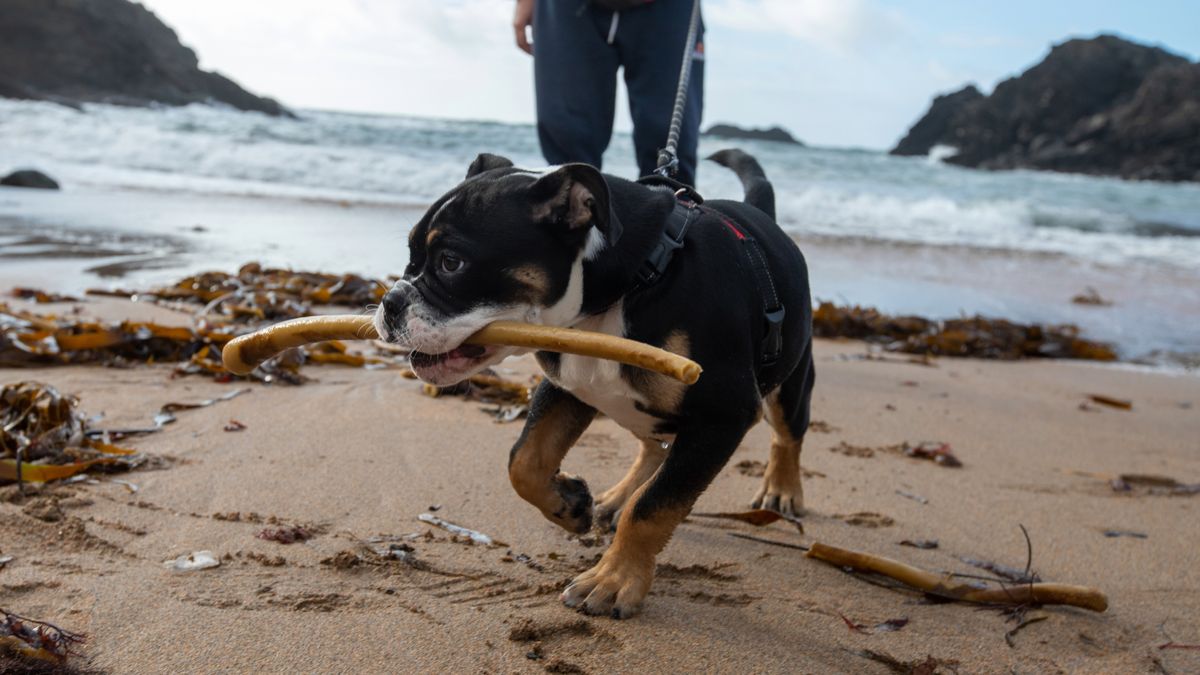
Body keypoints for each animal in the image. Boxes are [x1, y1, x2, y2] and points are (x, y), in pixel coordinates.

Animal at [374, 149, 816, 619]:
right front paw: (568, 504)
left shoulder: (722, 415)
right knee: (651, 446)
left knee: (786, 437)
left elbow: (653, 507)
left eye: (451, 263)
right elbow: (524, 460)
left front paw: (615, 580)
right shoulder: (566, 382)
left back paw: (781, 490)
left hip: (791, 387)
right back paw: (617, 496)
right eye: (411, 255)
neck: (631, 284)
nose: (390, 301)